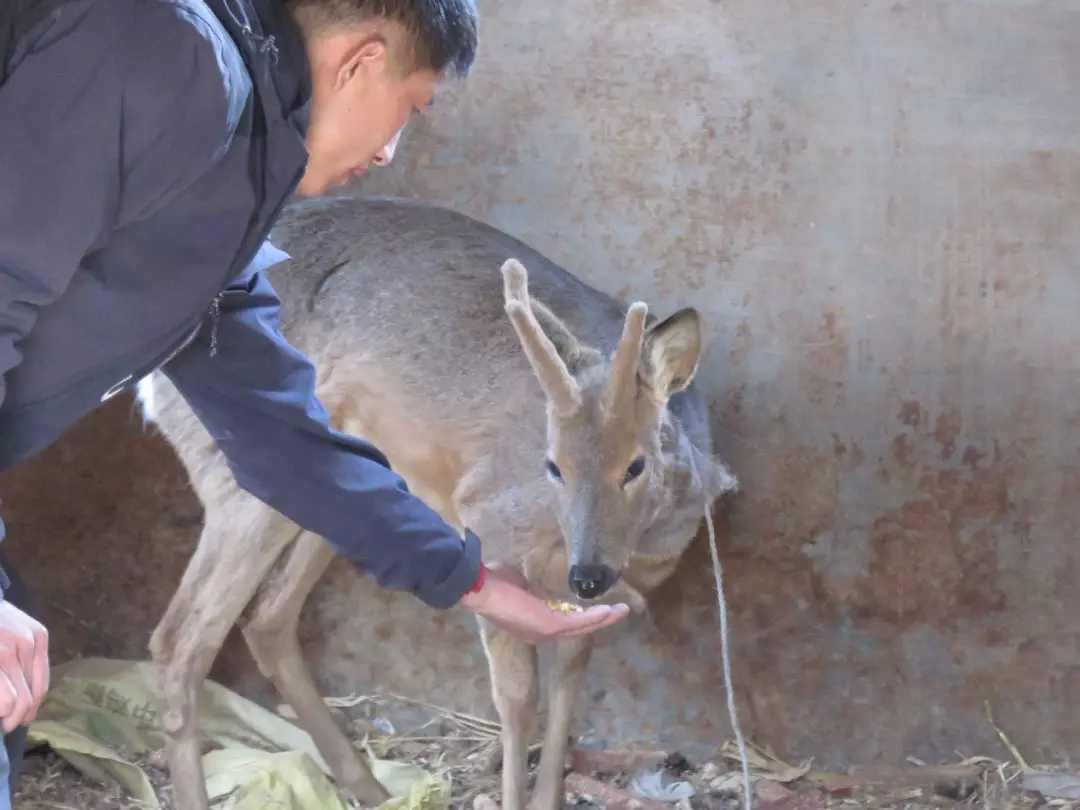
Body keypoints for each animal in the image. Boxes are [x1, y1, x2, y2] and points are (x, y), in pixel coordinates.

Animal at [135, 196, 738, 810]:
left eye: (635, 466)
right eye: (553, 465)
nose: (589, 574)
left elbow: (569, 683)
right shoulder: (491, 528)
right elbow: (517, 697)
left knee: (267, 618)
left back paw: (369, 786)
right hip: (244, 474)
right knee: (181, 639)